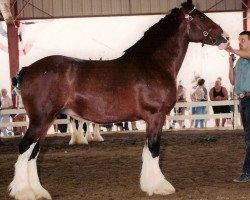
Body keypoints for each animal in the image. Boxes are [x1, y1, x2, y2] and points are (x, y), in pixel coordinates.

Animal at [9, 0, 229, 199]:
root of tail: (28, 70)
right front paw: (160, 186)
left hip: (46, 120)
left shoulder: (150, 120)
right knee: (24, 148)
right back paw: (24, 192)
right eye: (201, 17)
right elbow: (154, 149)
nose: (225, 37)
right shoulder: (156, 117)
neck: (153, 64)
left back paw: (39, 192)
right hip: (41, 119)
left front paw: (148, 184)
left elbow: (147, 150)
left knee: (33, 153)